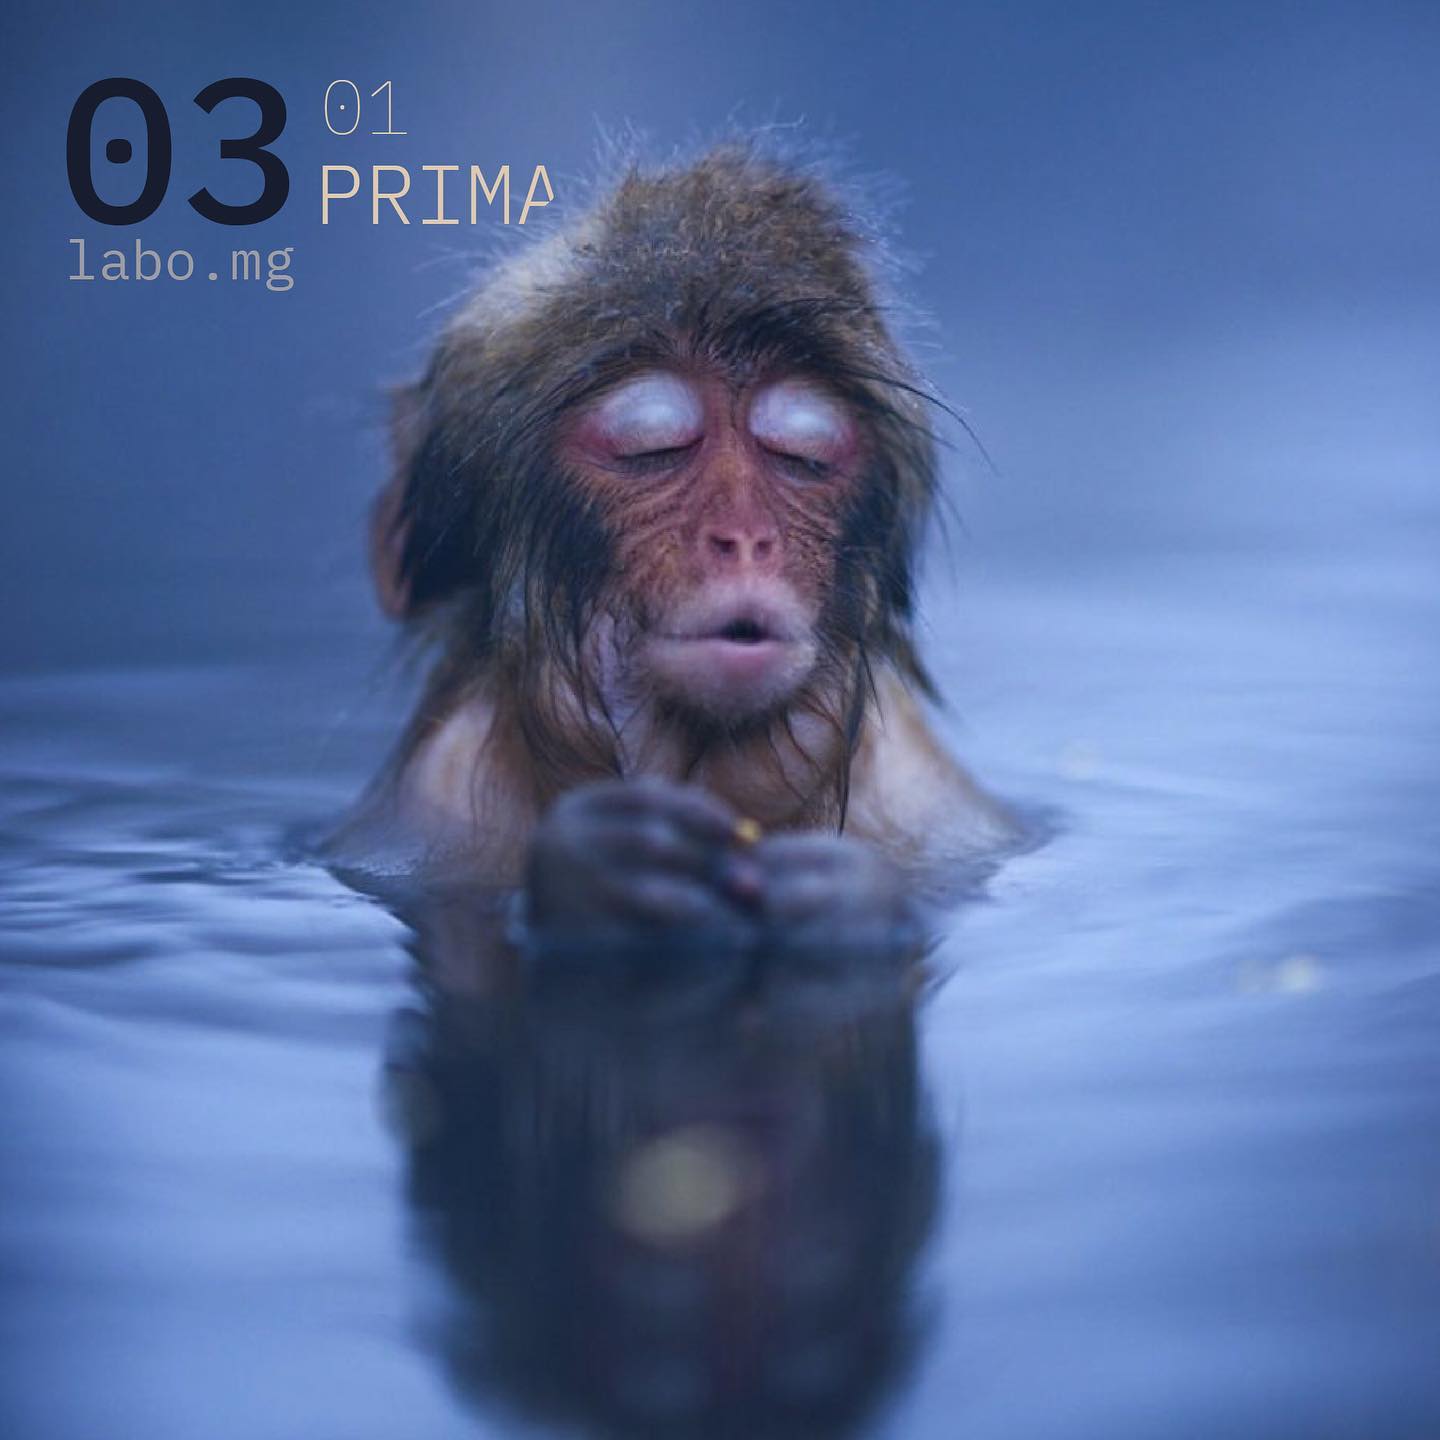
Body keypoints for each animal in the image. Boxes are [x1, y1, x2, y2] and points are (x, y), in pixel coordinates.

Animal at [335, 143, 1017, 949]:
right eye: (652, 450)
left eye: (802, 458)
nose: (745, 538)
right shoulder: (432, 803)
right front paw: (601, 869)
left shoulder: (927, 799)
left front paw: (843, 898)